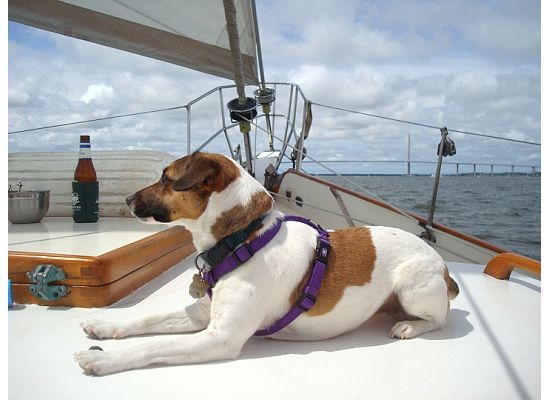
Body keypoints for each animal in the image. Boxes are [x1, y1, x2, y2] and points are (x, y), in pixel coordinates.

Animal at [74, 150, 462, 376]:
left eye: (167, 178)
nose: (126, 198)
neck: (242, 240)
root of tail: (444, 269)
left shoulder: (220, 337)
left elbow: (153, 346)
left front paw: (103, 359)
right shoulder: (202, 315)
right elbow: (146, 320)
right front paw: (105, 327)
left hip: (413, 285)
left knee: (440, 320)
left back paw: (409, 326)